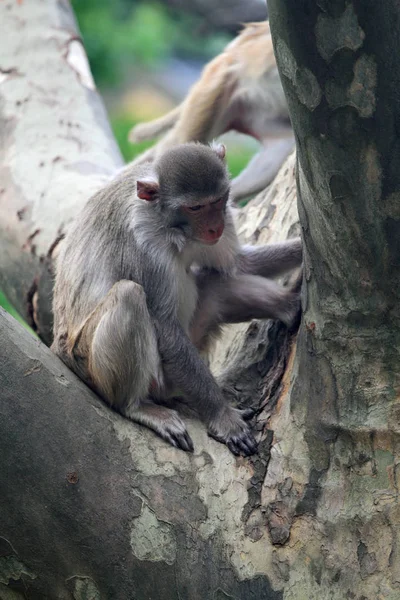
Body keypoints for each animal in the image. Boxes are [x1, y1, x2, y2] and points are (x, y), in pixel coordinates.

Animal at [52, 144, 304, 454]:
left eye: (217, 200)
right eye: (195, 208)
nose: (215, 228)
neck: (170, 226)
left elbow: (236, 265)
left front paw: (303, 249)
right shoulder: (143, 246)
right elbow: (164, 326)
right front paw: (223, 416)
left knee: (213, 284)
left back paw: (288, 306)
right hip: (103, 366)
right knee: (129, 295)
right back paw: (135, 407)